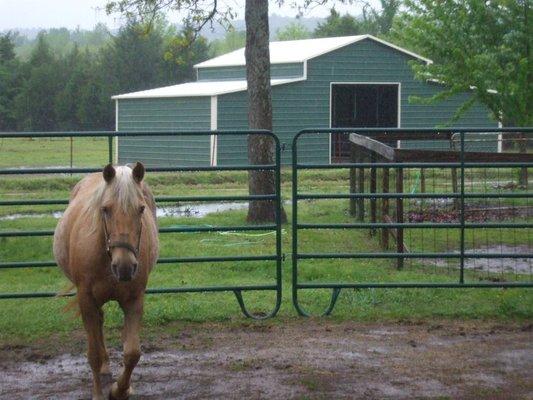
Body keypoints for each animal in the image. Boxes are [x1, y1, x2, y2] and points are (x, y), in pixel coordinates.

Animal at [53, 163, 158, 400]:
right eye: (106, 209)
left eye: (141, 209)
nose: (125, 267)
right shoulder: (86, 299)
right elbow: (92, 354)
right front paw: (99, 393)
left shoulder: (135, 300)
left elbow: (132, 353)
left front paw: (120, 390)